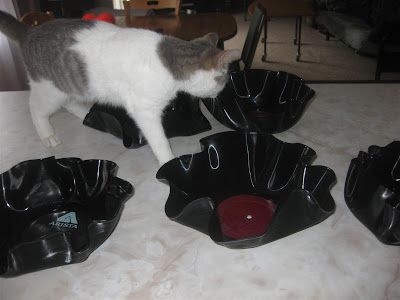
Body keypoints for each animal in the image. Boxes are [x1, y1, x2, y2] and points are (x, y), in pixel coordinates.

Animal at [0, 11, 241, 165]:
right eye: (223, 78)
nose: (223, 89)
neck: (169, 59)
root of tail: (30, 32)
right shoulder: (144, 110)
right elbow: (160, 141)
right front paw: (168, 161)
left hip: (71, 87)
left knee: (70, 104)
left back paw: (86, 114)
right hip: (50, 89)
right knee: (35, 108)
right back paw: (47, 134)